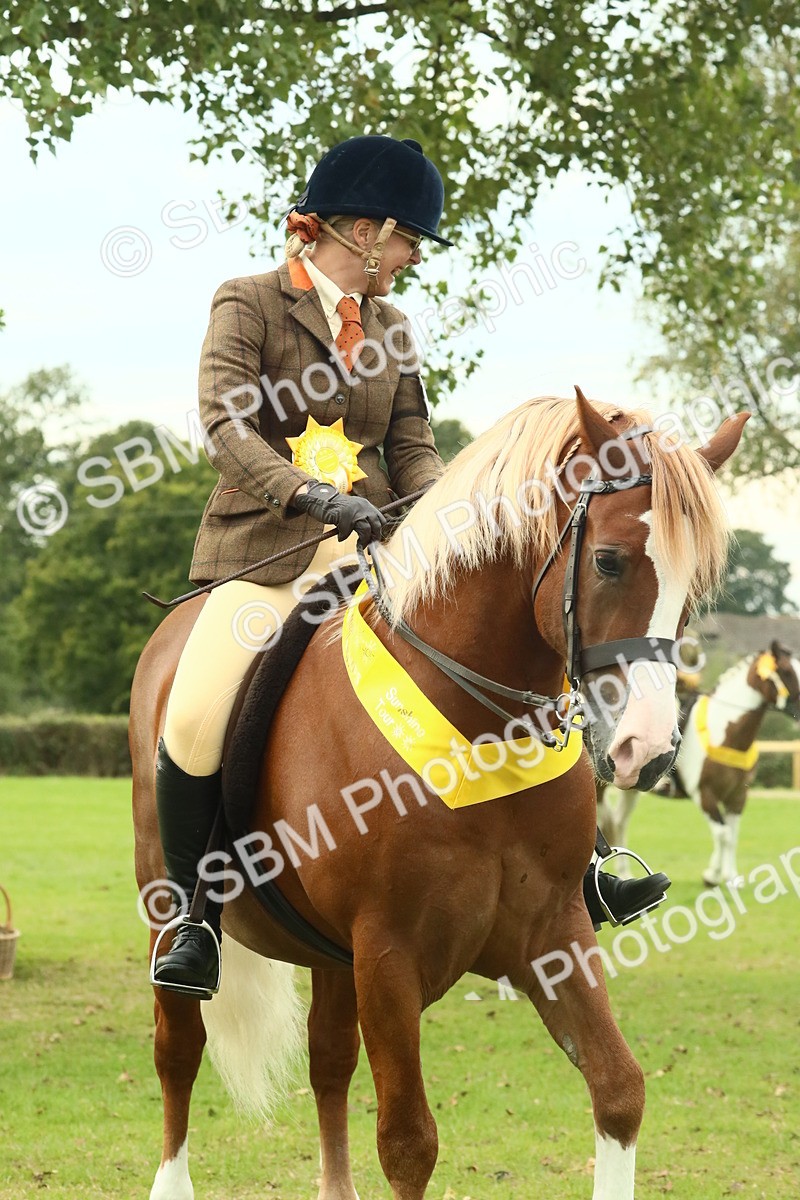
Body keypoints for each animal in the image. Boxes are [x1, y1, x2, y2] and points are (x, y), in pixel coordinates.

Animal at [130, 391, 746, 1200]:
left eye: (695, 584)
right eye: (608, 560)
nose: (650, 748)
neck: (477, 725)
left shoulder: (554, 932)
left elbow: (619, 1090)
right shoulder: (388, 955)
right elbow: (407, 1143)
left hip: (334, 956)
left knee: (329, 1063)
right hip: (170, 908)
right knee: (177, 1050)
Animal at [597, 642, 800, 886]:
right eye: (787, 671)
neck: (724, 731)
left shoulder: (738, 795)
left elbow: (731, 834)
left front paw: (731, 877)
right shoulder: (704, 794)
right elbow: (722, 833)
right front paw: (712, 876)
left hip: (630, 790)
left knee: (619, 822)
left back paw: (625, 873)